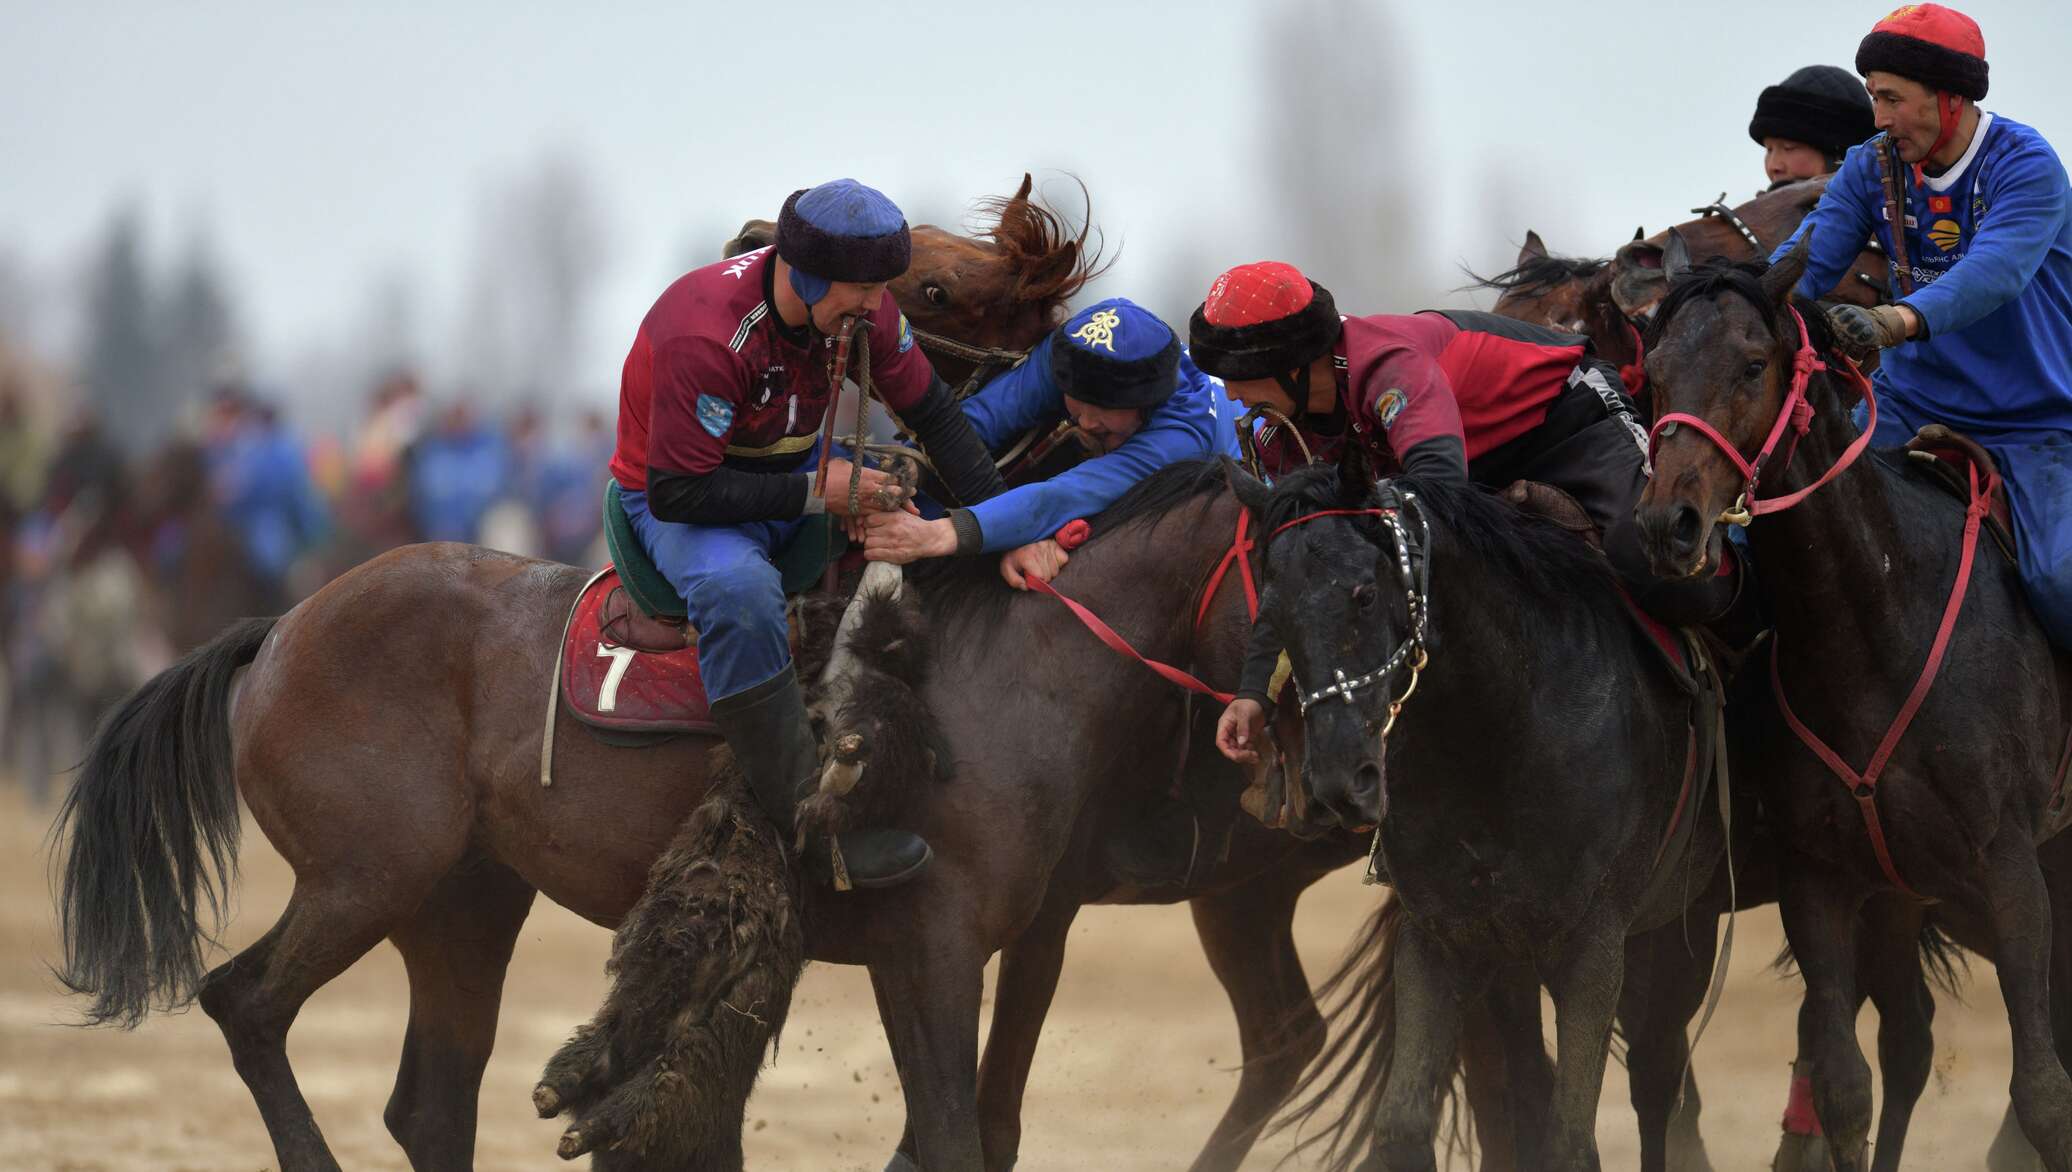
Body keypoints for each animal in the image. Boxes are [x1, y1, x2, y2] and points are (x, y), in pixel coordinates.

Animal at [1226, 461, 1732, 1172]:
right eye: (1270, 614)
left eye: (1363, 594)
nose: (1338, 782)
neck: (1505, 723)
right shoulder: (1442, 940)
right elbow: (1405, 1126)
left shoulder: (1593, 949)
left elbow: (1570, 1140)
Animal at [1632, 245, 2072, 1167]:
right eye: (1653, 373)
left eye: (1751, 365)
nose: (1669, 524)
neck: (1882, 619)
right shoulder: (1825, 882)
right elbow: (1842, 1089)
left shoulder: (2010, 870)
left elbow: (2046, 1094)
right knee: (1906, 1042)